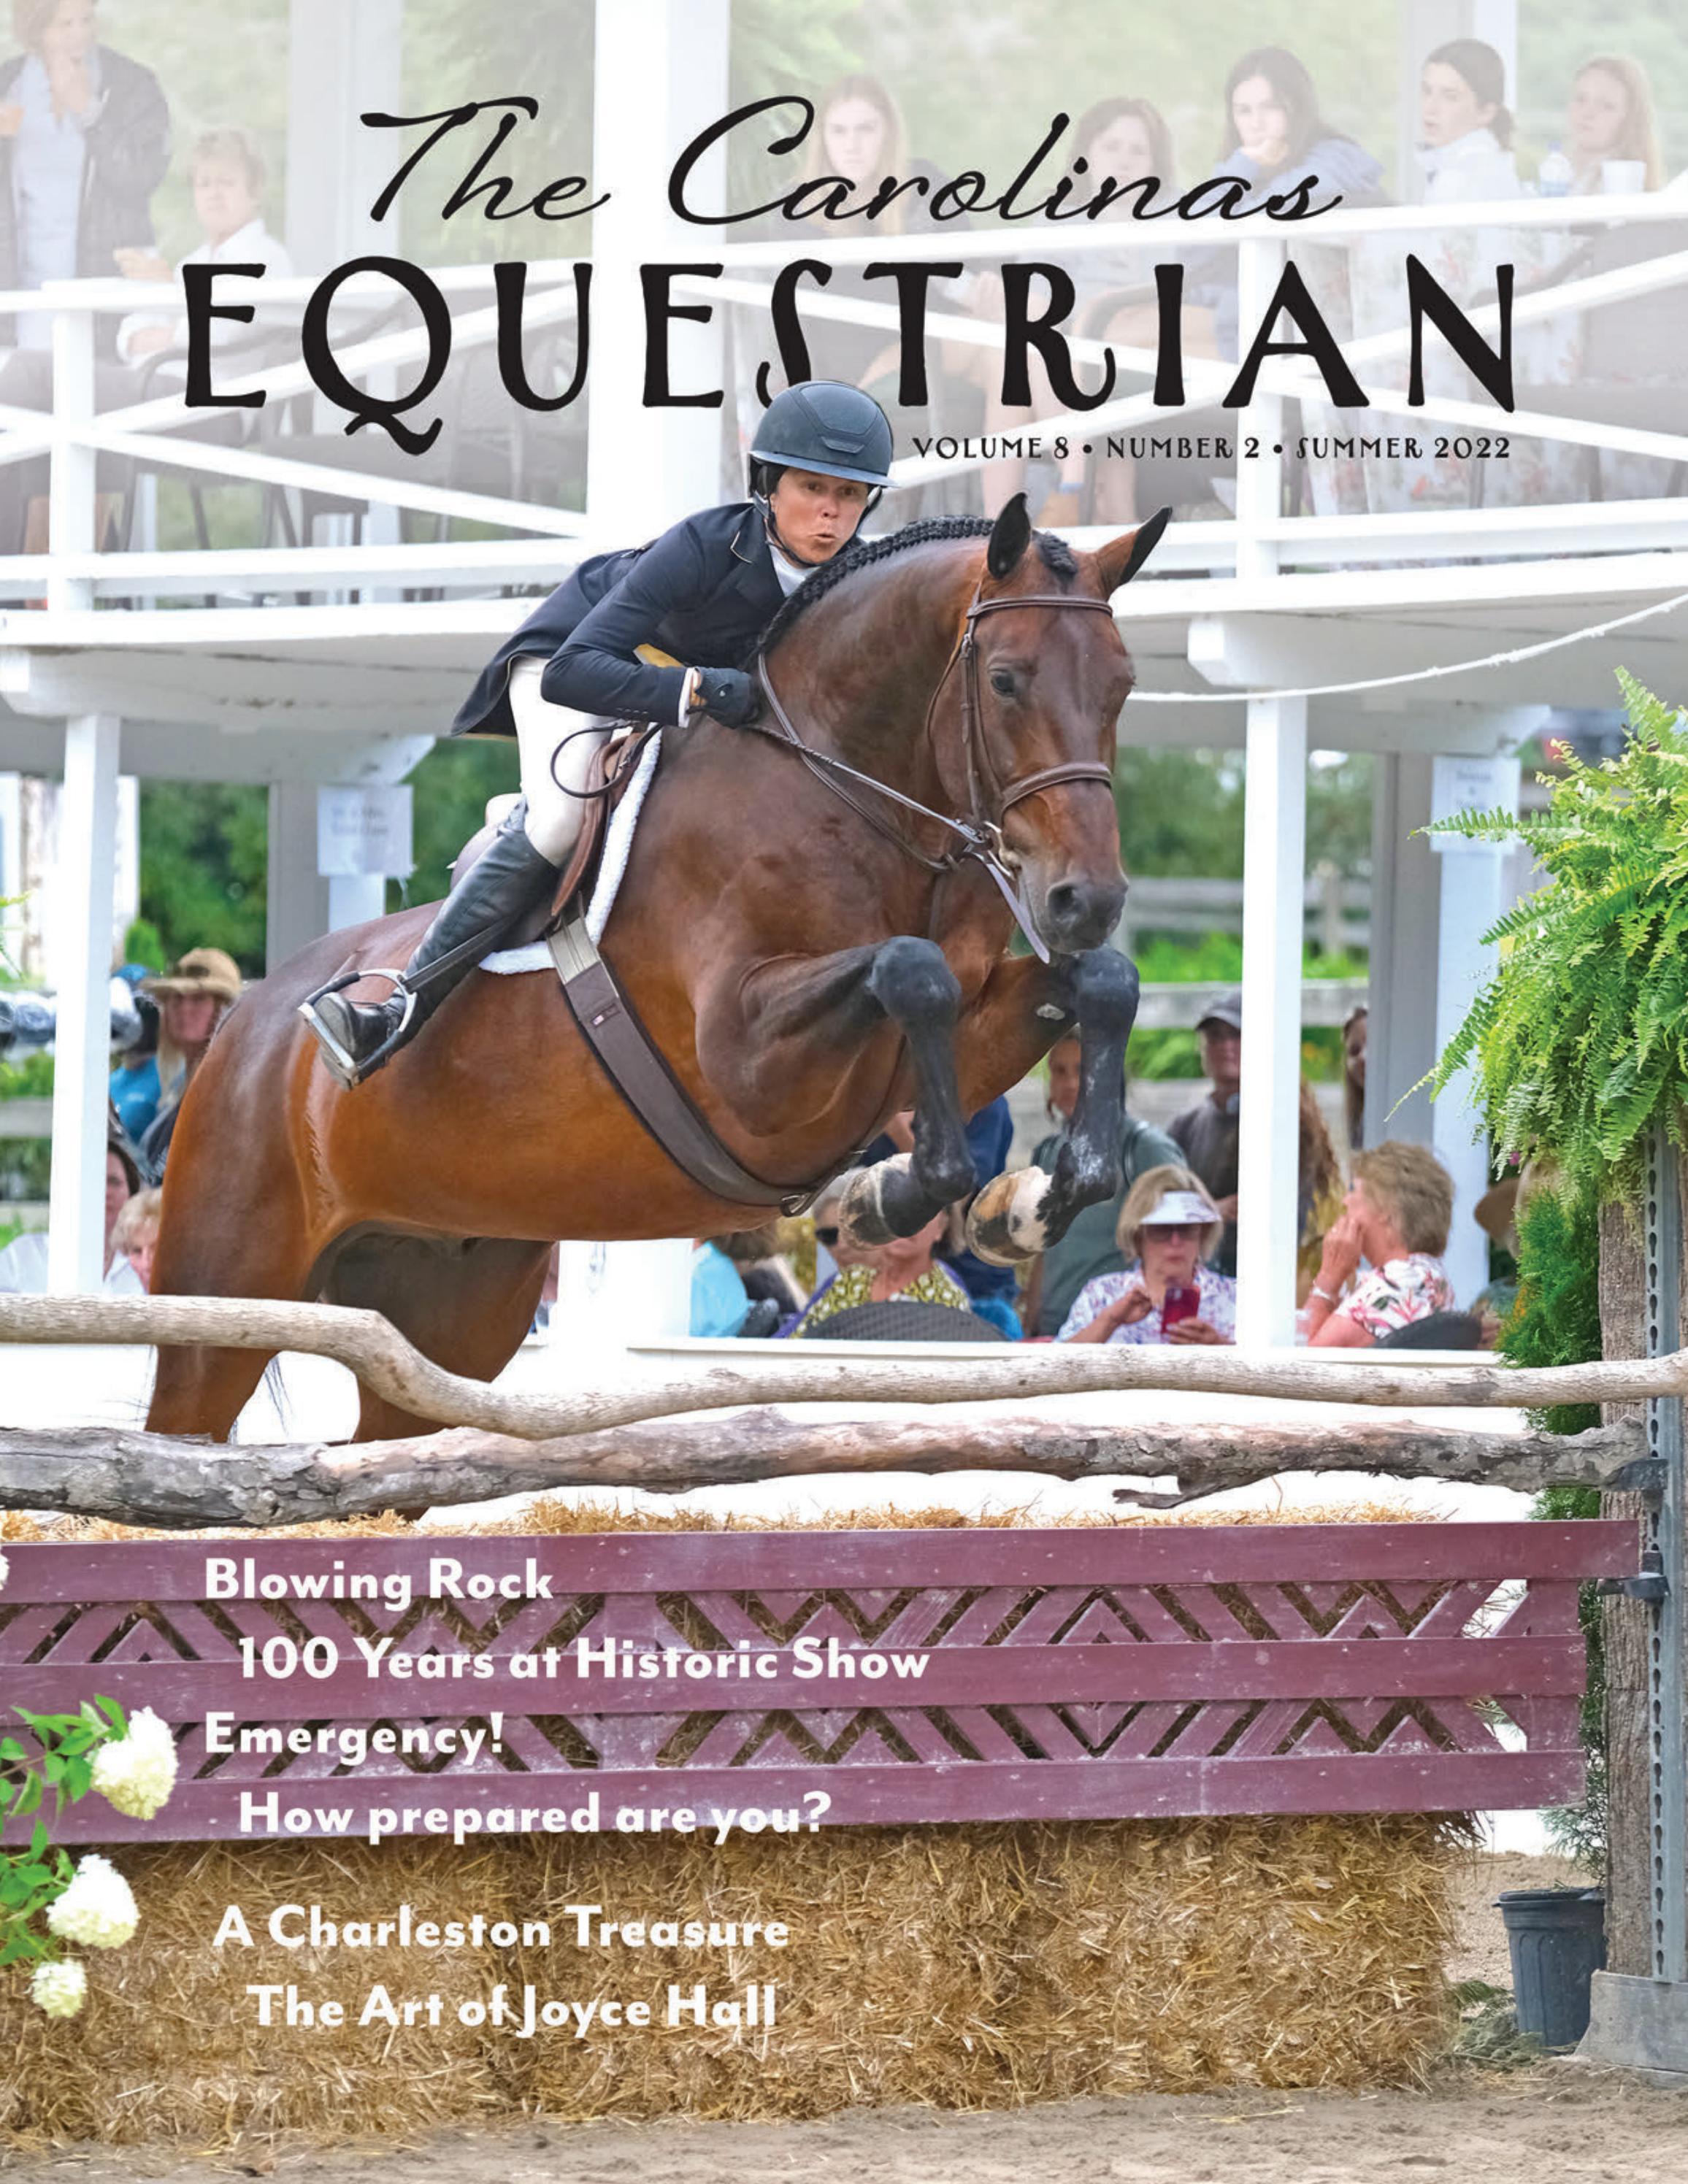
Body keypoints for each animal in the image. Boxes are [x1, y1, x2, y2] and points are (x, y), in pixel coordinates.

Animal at [145, 493, 1168, 1442]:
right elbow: (909, 971)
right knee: (184, 1416)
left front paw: (1035, 1197)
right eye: (1004, 680)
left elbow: (1096, 986)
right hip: (226, 1287)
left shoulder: (967, 1020)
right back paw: (365, 1023)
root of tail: (246, 1022)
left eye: (1122, 686)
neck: (855, 796)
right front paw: (894, 1193)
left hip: (443, 1304)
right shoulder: (745, 1063)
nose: (1085, 901)